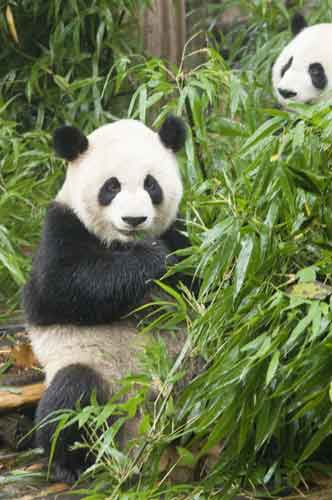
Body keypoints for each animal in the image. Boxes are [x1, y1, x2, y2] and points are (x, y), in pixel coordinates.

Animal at [22, 115, 200, 482]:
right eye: (112, 186)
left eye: (151, 185)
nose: (134, 220)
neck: (122, 243)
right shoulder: (61, 226)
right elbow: (62, 286)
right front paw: (152, 258)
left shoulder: (179, 231)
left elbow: (196, 284)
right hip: (96, 376)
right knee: (70, 397)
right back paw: (69, 465)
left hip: (185, 369)